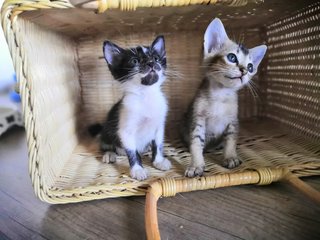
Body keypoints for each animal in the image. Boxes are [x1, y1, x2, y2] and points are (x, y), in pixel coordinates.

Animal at [97, 36, 172, 180]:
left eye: (156, 58)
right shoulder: (125, 131)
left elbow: (158, 144)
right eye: (135, 61)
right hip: (108, 129)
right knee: (107, 144)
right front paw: (138, 169)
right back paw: (110, 153)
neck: (146, 95)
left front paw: (158, 161)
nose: (151, 63)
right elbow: (132, 152)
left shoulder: (159, 126)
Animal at [182, 18, 268, 176]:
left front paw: (230, 157)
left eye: (251, 67)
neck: (220, 96)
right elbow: (196, 142)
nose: (244, 71)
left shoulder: (233, 121)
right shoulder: (198, 119)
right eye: (232, 57)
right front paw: (196, 165)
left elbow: (231, 140)